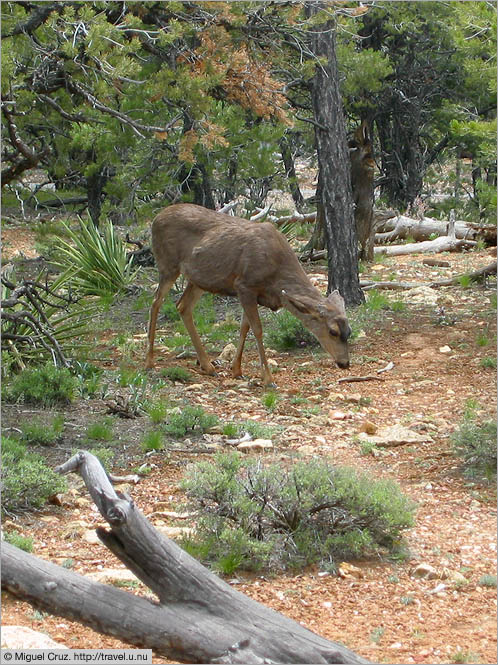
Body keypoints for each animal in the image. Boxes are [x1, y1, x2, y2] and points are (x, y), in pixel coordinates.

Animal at [146, 205, 352, 386]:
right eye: (333, 331)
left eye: (349, 331)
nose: (344, 363)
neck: (276, 276)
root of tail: (156, 218)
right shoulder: (244, 285)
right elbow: (257, 329)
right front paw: (268, 379)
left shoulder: (252, 294)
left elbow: (244, 327)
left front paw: (236, 370)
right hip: (168, 265)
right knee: (156, 302)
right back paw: (150, 361)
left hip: (198, 279)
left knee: (182, 306)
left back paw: (207, 366)